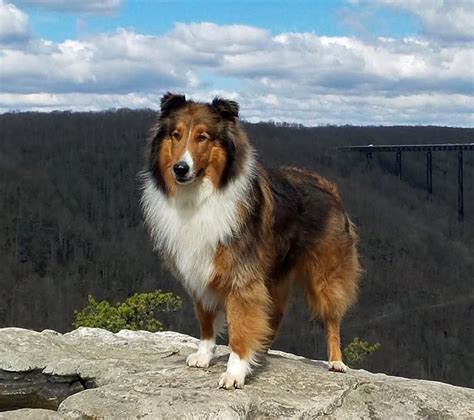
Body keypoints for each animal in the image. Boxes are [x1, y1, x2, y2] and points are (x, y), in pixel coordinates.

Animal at [140, 93, 360, 388]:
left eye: (202, 137)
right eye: (176, 135)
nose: (180, 169)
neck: (201, 197)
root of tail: (328, 186)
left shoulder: (241, 278)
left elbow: (240, 328)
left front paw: (235, 372)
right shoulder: (200, 272)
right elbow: (206, 321)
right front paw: (204, 356)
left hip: (325, 273)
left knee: (332, 317)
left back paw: (336, 361)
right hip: (275, 276)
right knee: (274, 316)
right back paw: (262, 353)